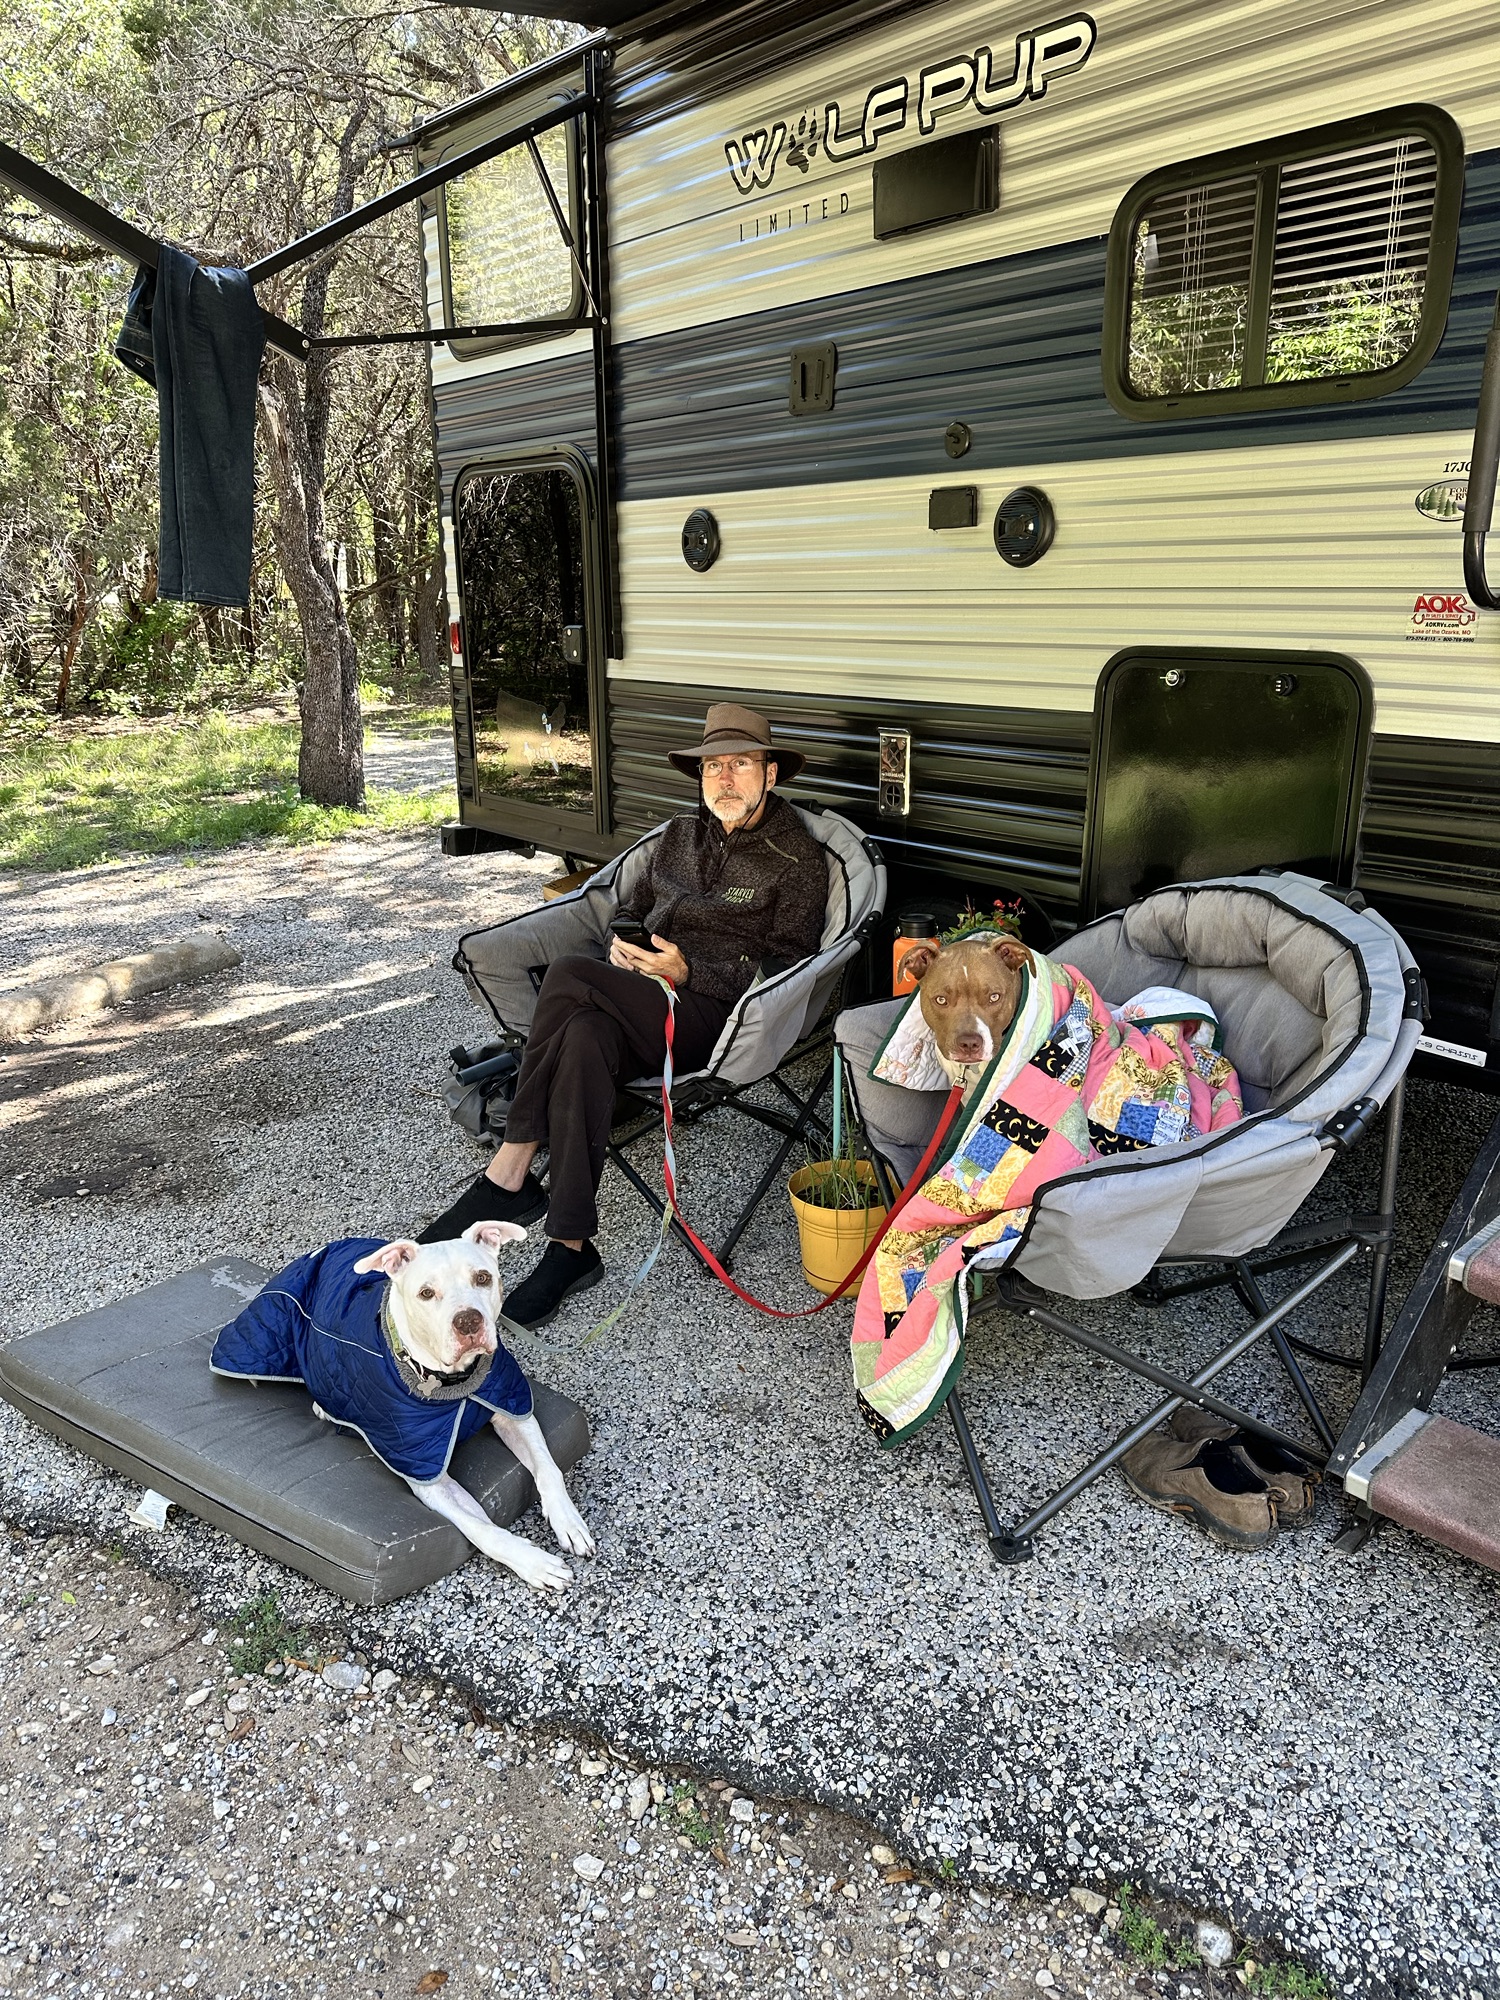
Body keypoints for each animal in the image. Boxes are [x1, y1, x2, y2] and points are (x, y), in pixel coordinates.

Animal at [211, 1221, 593, 1594]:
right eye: (426, 1293)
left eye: (483, 1277)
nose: (468, 1321)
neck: (453, 1383)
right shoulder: (428, 1477)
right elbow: (481, 1528)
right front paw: (534, 1563)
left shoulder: (512, 1407)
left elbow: (548, 1469)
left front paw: (568, 1522)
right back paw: (324, 1408)